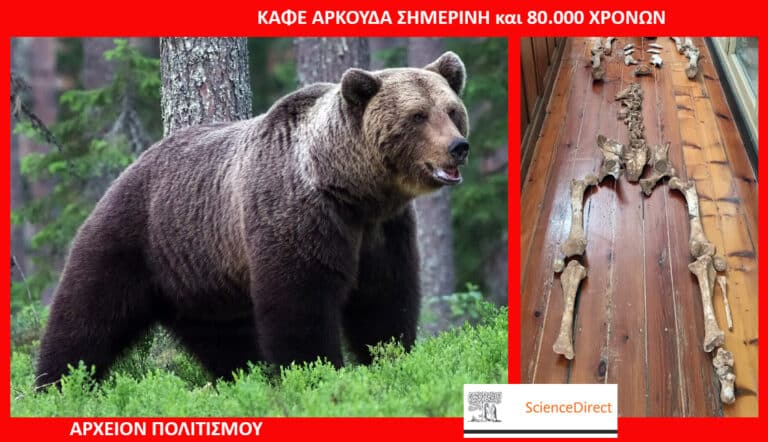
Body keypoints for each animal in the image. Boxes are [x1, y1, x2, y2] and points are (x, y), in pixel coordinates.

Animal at [35, 51, 470, 387]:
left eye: (451, 111)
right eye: (417, 115)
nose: (458, 147)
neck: (352, 190)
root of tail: (131, 165)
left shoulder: (384, 231)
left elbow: (384, 301)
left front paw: (389, 358)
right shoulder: (299, 216)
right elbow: (301, 305)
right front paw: (316, 373)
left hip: (201, 277)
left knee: (224, 340)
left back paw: (241, 377)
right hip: (134, 237)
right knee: (86, 315)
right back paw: (57, 384)